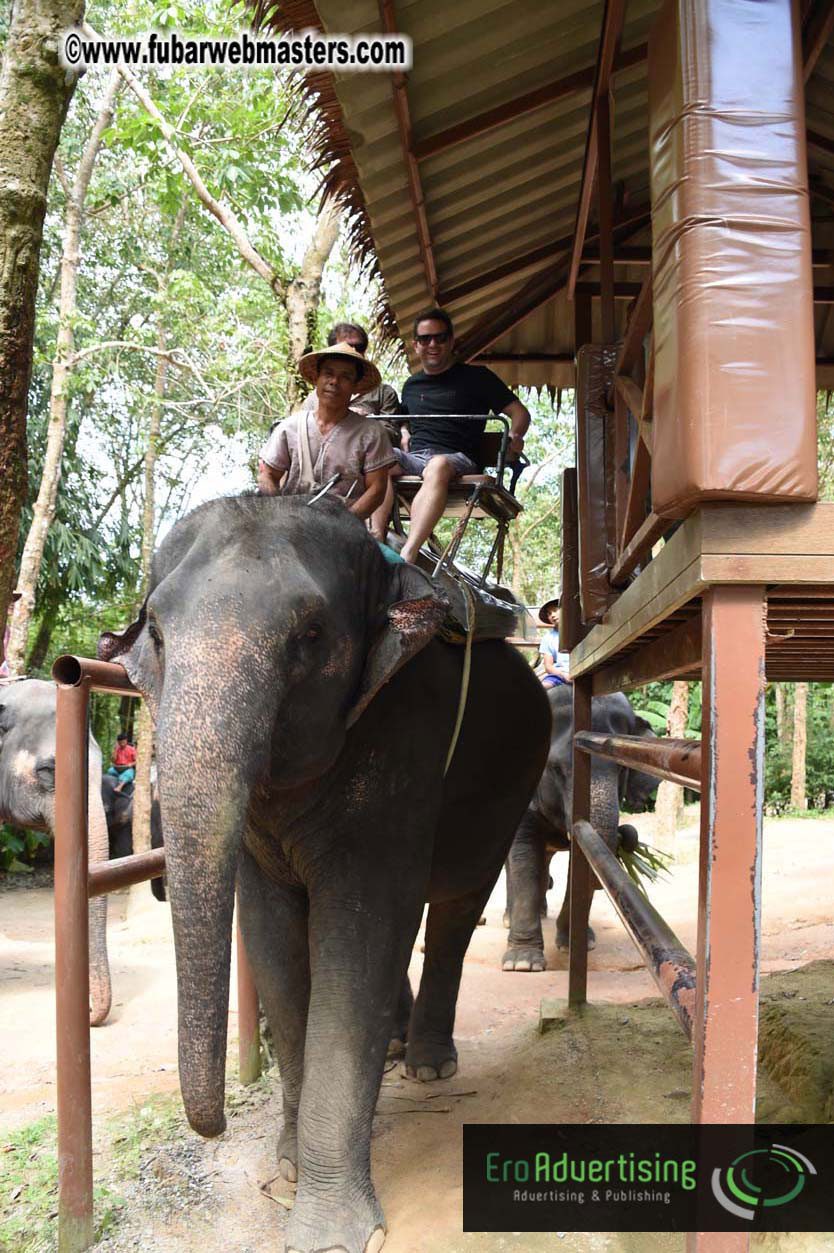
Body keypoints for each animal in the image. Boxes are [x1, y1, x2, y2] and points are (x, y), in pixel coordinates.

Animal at [98, 492, 551, 1253]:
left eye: (310, 636)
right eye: (155, 631)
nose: (216, 1123)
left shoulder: (402, 737)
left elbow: (359, 930)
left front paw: (331, 1231)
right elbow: (274, 938)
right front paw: (287, 1162)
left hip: (514, 776)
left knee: (457, 906)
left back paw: (428, 1062)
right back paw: (395, 1044)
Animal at [502, 686, 658, 972]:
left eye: (622, 767)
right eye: (555, 768)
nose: (626, 835)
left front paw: (577, 944)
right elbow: (523, 856)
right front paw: (522, 964)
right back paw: (510, 919)